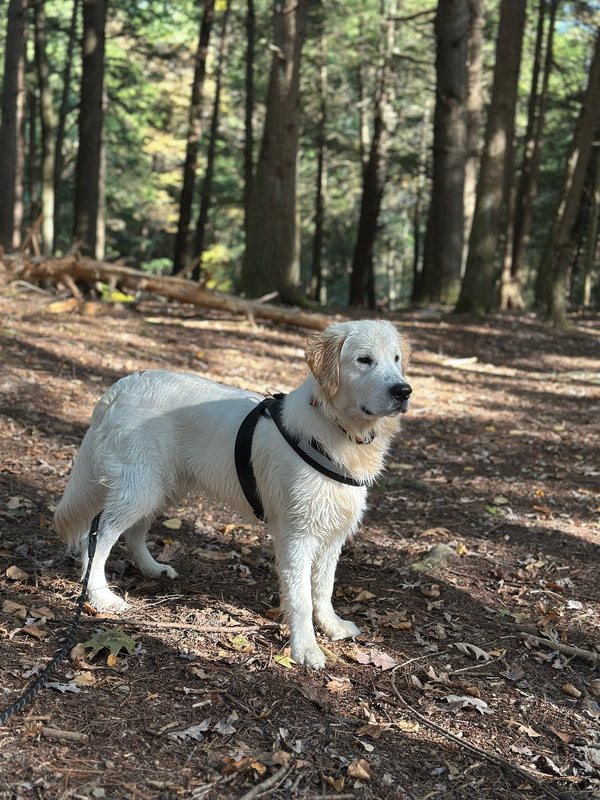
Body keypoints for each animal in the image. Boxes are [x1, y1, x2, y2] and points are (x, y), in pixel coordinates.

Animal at [54, 320, 410, 668]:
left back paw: (152, 568)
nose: (403, 391)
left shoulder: (333, 531)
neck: (337, 427)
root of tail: (125, 384)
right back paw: (100, 596)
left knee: (134, 532)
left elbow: (323, 588)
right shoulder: (298, 535)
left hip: (160, 488)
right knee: (96, 536)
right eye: (364, 360)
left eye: (396, 359)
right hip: (140, 487)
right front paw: (306, 649)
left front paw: (332, 626)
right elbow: (301, 598)